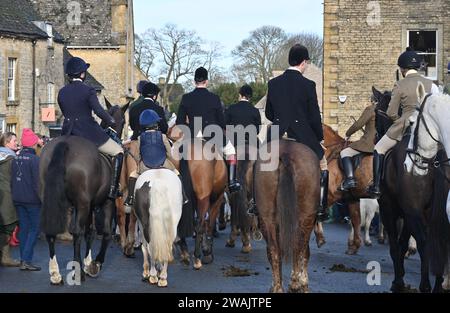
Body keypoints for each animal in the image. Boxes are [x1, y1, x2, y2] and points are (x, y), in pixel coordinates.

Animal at [38, 99, 128, 282]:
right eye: (124, 120)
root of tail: (64, 144)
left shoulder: (89, 205)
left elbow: (89, 232)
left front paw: (87, 262)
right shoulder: (106, 203)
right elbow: (104, 233)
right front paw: (94, 264)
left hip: (53, 201)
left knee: (53, 232)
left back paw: (55, 273)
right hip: (83, 204)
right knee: (77, 232)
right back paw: (77, 271)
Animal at [253, 140, 320, 292]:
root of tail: (286, 153)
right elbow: (305, 253)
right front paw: (303, 282)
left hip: (267, 219)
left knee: (274, 250)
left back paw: (278, 288)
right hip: (306, 218)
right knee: (298, 247)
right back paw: (294, 284)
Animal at [372, 83, 442, 292]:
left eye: (376, 113)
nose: (376, 135)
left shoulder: (390, 210)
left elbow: (396, 246)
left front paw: (398, 281)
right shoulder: (409, 214)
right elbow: (403, 243)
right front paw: (400, 276)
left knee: (425, 242)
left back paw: (426, 285)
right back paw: (438, 284)